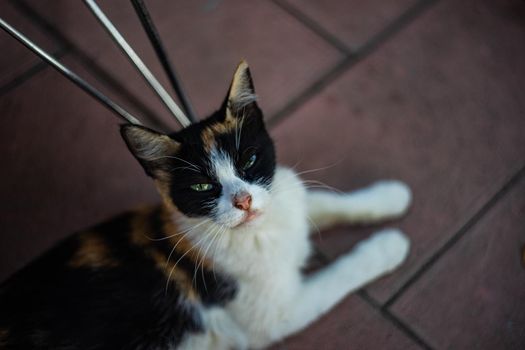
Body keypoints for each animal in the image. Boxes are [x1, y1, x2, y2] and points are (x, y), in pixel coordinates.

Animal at [0, 61, 410, 348]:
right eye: (202, 186)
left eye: (248, 159)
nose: (244, 200)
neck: (254, 233)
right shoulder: (274, 316)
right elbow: (338, 276)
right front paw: (387, 246)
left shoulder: (277, 197)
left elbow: (317, 200)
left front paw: (390, 195)